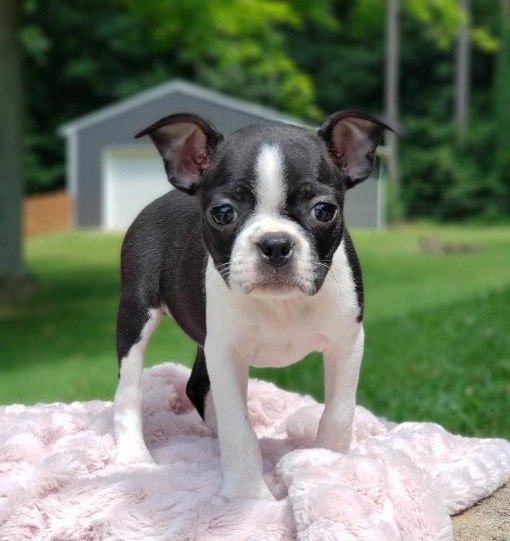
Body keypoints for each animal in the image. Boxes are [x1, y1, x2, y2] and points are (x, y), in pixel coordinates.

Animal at [112, 109, 390, 498]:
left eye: (324, 210)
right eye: (223, 213)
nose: (275, 243)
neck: (281, 304)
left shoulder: (346, 342)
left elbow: (339, 412)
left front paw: (327, 467)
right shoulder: (226, 353)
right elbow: (237, 427)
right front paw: (247, 494)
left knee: (198, 386)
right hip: (137, 311)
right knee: (129, 388)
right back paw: (134, 455)